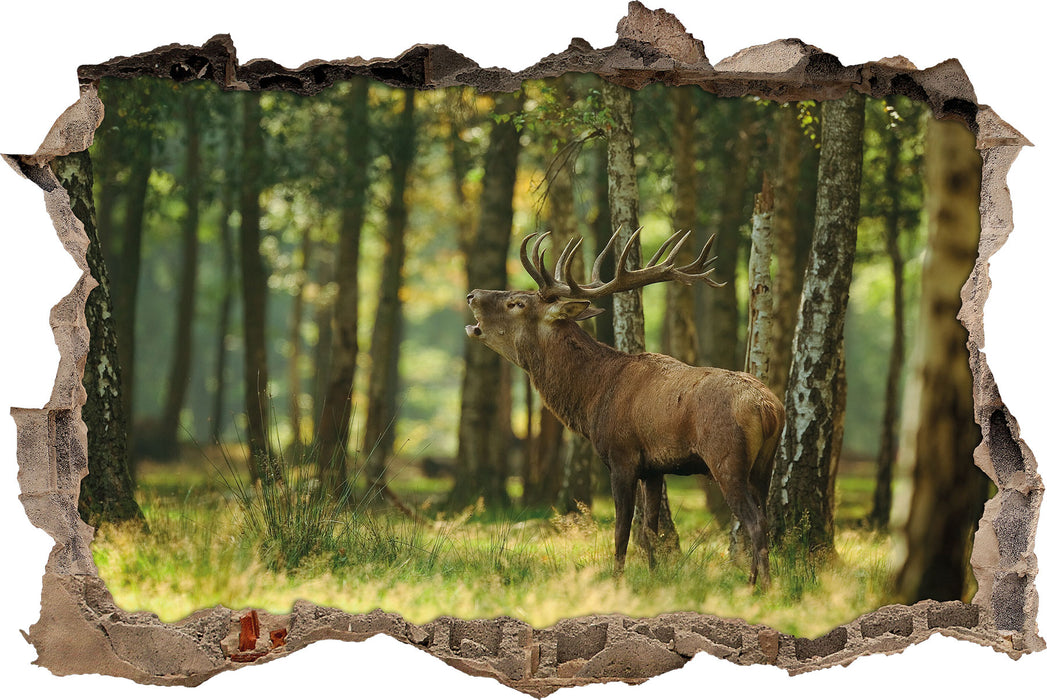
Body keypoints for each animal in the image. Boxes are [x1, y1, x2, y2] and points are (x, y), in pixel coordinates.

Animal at [465, 228, 784, 585]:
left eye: (516, 303)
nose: (472, 294)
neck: (592, 398)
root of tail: (768, 409)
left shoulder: (621, 456)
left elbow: (622, 531)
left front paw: (617, 579)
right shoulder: (655, 468)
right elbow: (650, 531)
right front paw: (654, 576)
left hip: (726, 458)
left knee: (754, 521)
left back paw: (760, 586)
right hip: (764, 465)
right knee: (764, 517)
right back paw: (755, 581)